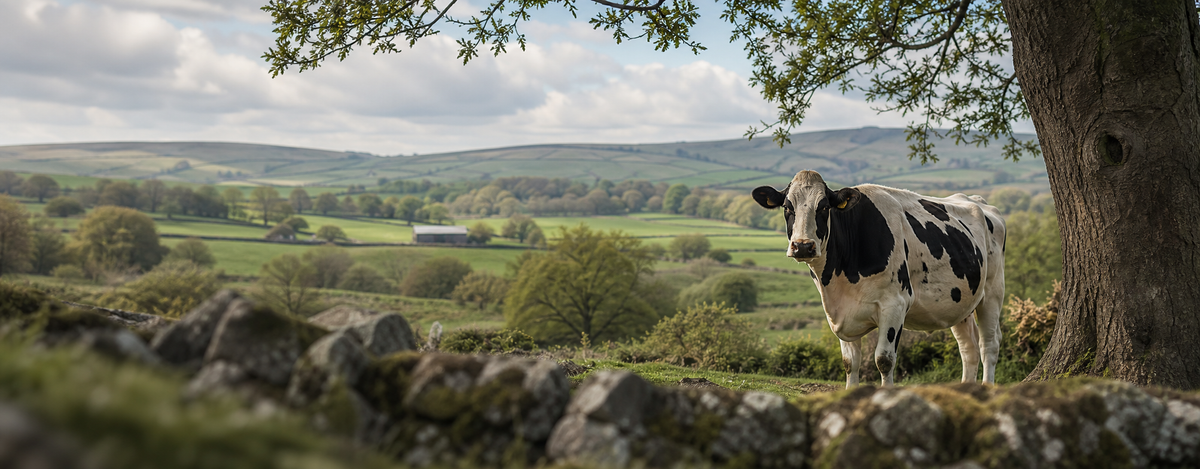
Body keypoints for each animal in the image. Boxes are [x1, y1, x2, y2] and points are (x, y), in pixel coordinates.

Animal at [752, 170, 1005, 388]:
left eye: (823, 207)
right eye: (787, 207)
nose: (803, 246)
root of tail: (978, 201)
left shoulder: (894, 304)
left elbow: (884, 360)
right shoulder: (841, 312)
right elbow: (849, 363)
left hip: (992, 294)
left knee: (989, 345)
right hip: (960, 302)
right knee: (969, 349)